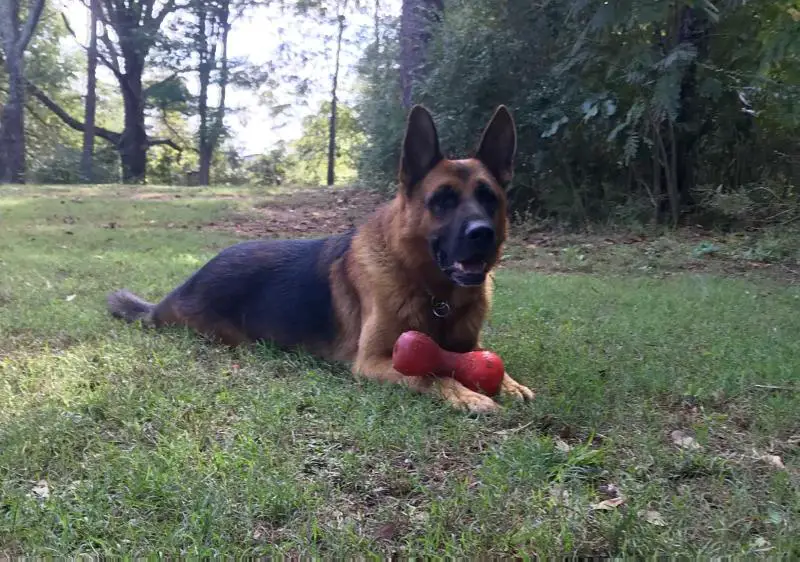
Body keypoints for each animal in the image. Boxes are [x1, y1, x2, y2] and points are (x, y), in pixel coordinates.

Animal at [106, 106, 532, 412]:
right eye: (442, 200)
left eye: (488, 198)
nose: (482, 234)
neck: (435, 295)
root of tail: (174, 295)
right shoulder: (374, 361)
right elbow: (431, 375)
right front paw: (468, 394)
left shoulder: (468, 344)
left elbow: (488, 363)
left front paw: (510, 384)